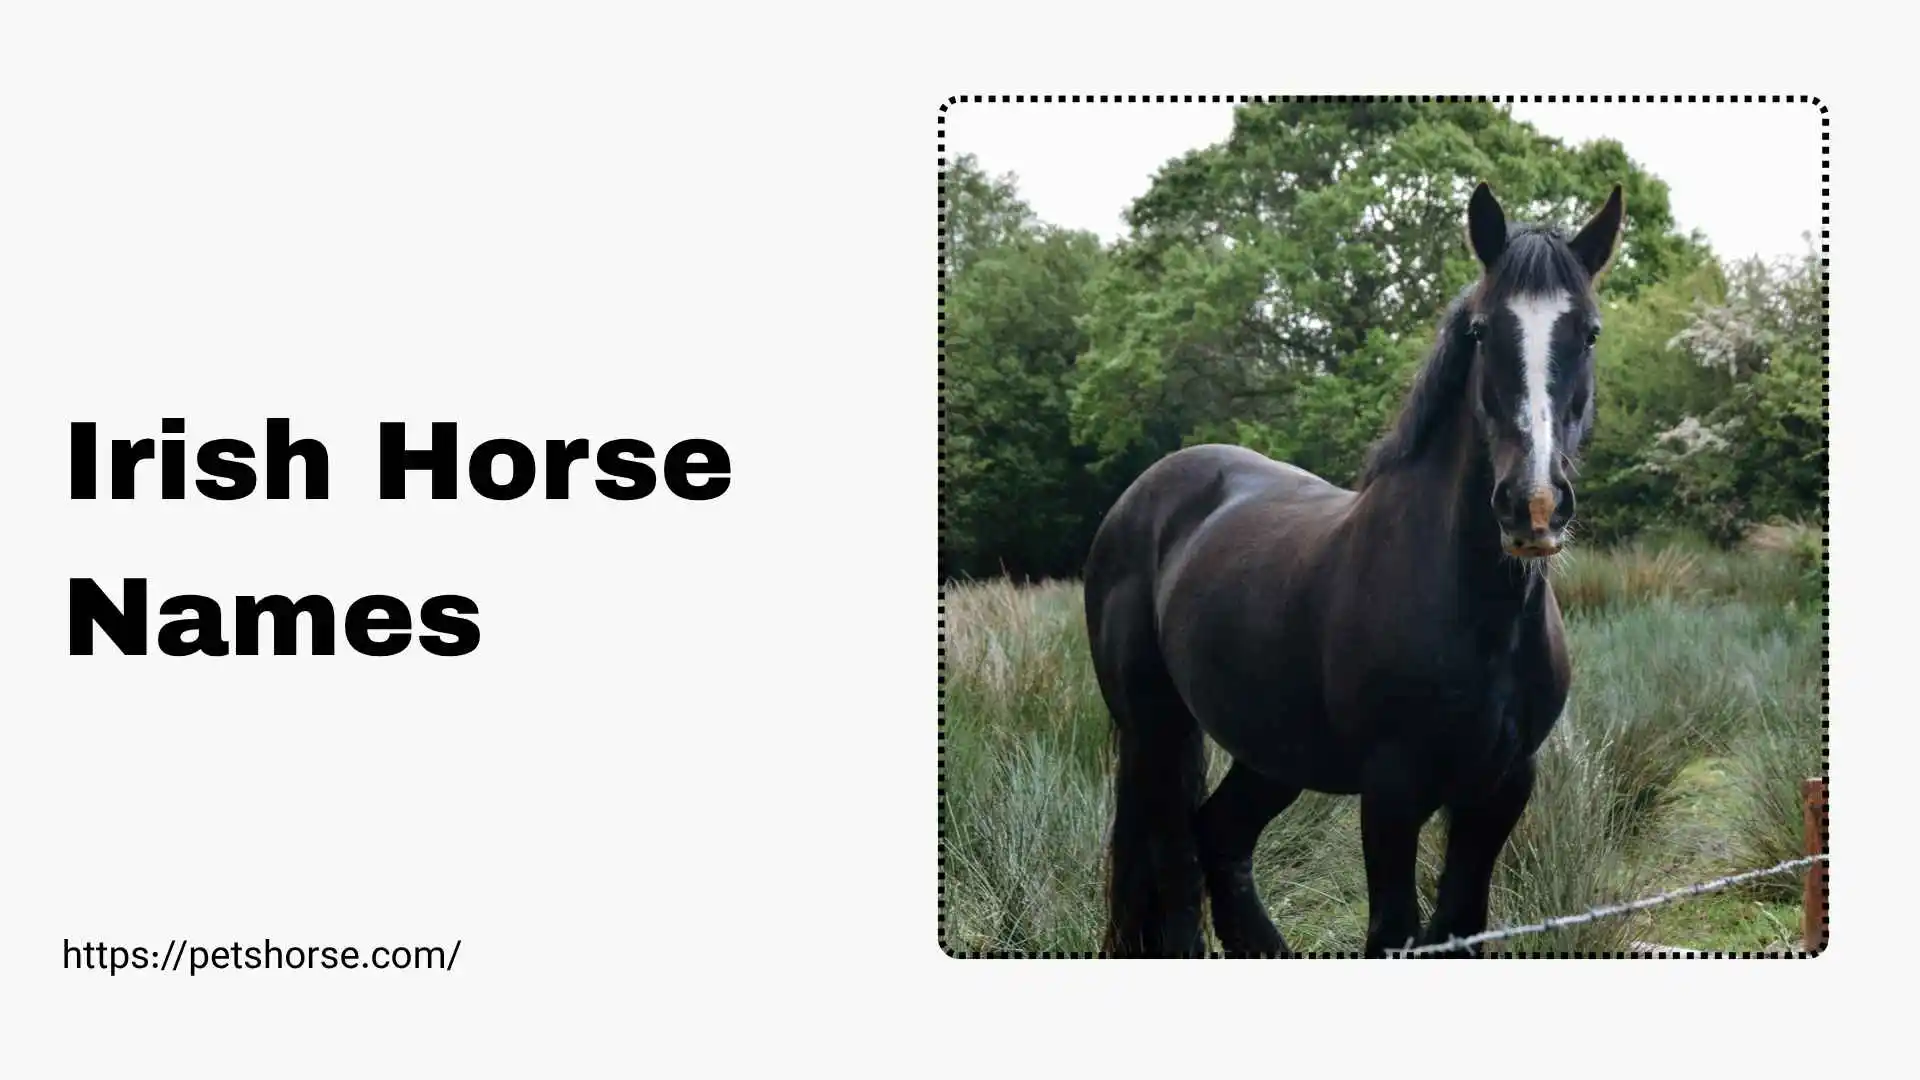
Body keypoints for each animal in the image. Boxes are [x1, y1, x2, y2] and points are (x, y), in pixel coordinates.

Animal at [1084, 181, 1625, 957]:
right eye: (1481, 331)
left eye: (1589, 333)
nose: (1534, 504)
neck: (1476, 614)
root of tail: (1142, 496)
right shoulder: (1392, 794)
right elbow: (1393, 931)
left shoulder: (1499, 792)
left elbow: (1460, 925)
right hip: (1152, 733)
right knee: (1174, 864)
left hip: (1270, 751)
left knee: (1220, 841)